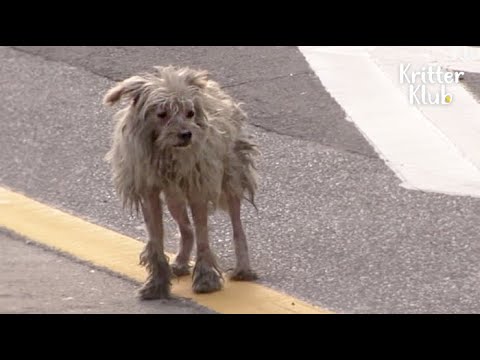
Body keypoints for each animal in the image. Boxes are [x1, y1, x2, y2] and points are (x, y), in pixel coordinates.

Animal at [101, 66, 258, 300]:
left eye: (190, 113)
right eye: (162, 113)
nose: (186, 134)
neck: (166, 152)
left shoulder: (198, 187)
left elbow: (203, 236)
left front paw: (206, 278)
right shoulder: (149, 191)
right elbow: (156, 238)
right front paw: (157, 283)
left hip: (231, 174)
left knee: (236, 225)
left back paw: (243, 268)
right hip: (173, 196)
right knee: (186, 229)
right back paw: (181, 262)